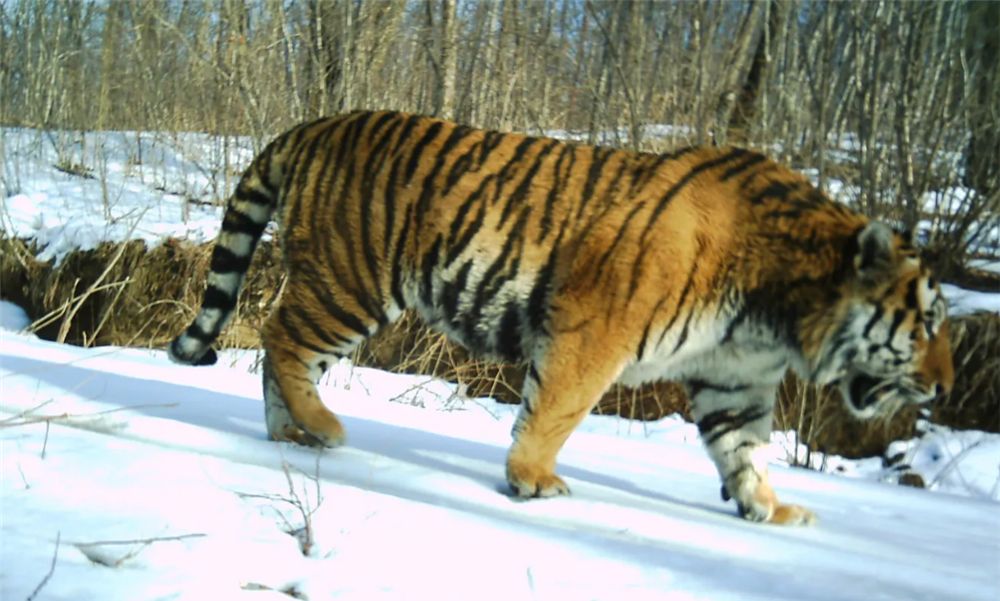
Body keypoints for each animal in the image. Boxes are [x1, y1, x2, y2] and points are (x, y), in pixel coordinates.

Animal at [169, 110, 953, 526]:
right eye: (928, 325)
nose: (946, 387)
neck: (782, 313)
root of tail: (318, 122)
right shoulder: (595, 326)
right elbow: (557, 408)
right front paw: (532, 478)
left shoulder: (732, 378)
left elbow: (745, 451)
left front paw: (771, 509)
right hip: (353, 281)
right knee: (281, 337)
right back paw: (321, 427)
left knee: (279, 349)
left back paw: (291, 435)